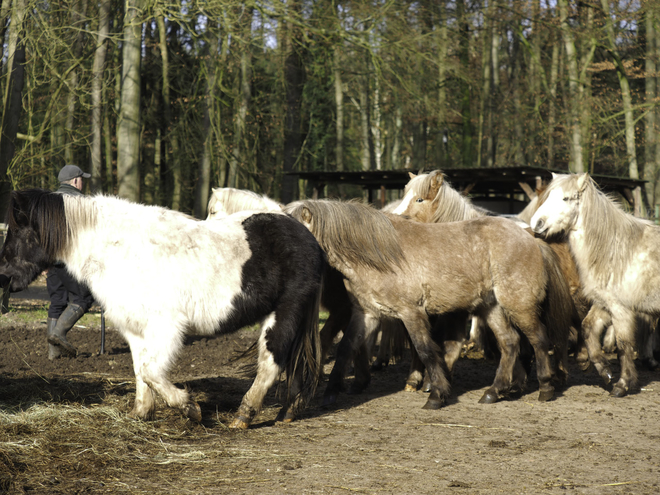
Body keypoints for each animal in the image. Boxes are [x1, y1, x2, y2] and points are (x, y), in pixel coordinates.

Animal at [0, 188, 324, 428]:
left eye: (18, 232)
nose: (4, 276)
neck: (118, 249)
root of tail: (302, 230)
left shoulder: (165, 327)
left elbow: (151, 371)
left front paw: (189, 408)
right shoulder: (135, 329)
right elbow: (140, 371)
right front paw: (141, 413)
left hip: (285, 312)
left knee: (271, 362)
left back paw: (244, 414)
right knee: (292, 363)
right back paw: (288, 411)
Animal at [532, 172, 660, 398]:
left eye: (566, 198)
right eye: (546, 197)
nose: (536, 223)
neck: (615, 249)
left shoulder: (620, 308)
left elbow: (623, 345)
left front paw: (622, 385)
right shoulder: (603, 303)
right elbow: (588, 328)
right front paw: (603, 369)